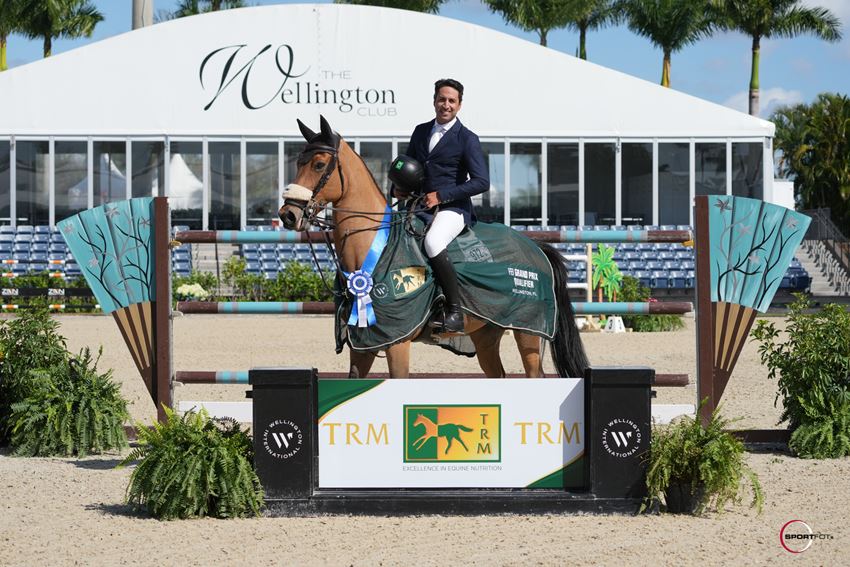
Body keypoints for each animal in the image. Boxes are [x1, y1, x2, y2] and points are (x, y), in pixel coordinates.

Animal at [274, 115, 588, 382]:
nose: (288, 215)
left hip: (528, 333)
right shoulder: (363, 344)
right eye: (298, 161)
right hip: (486, 333)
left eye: (318, 164)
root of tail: (536, 247)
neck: (373, 250)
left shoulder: (397, 342)